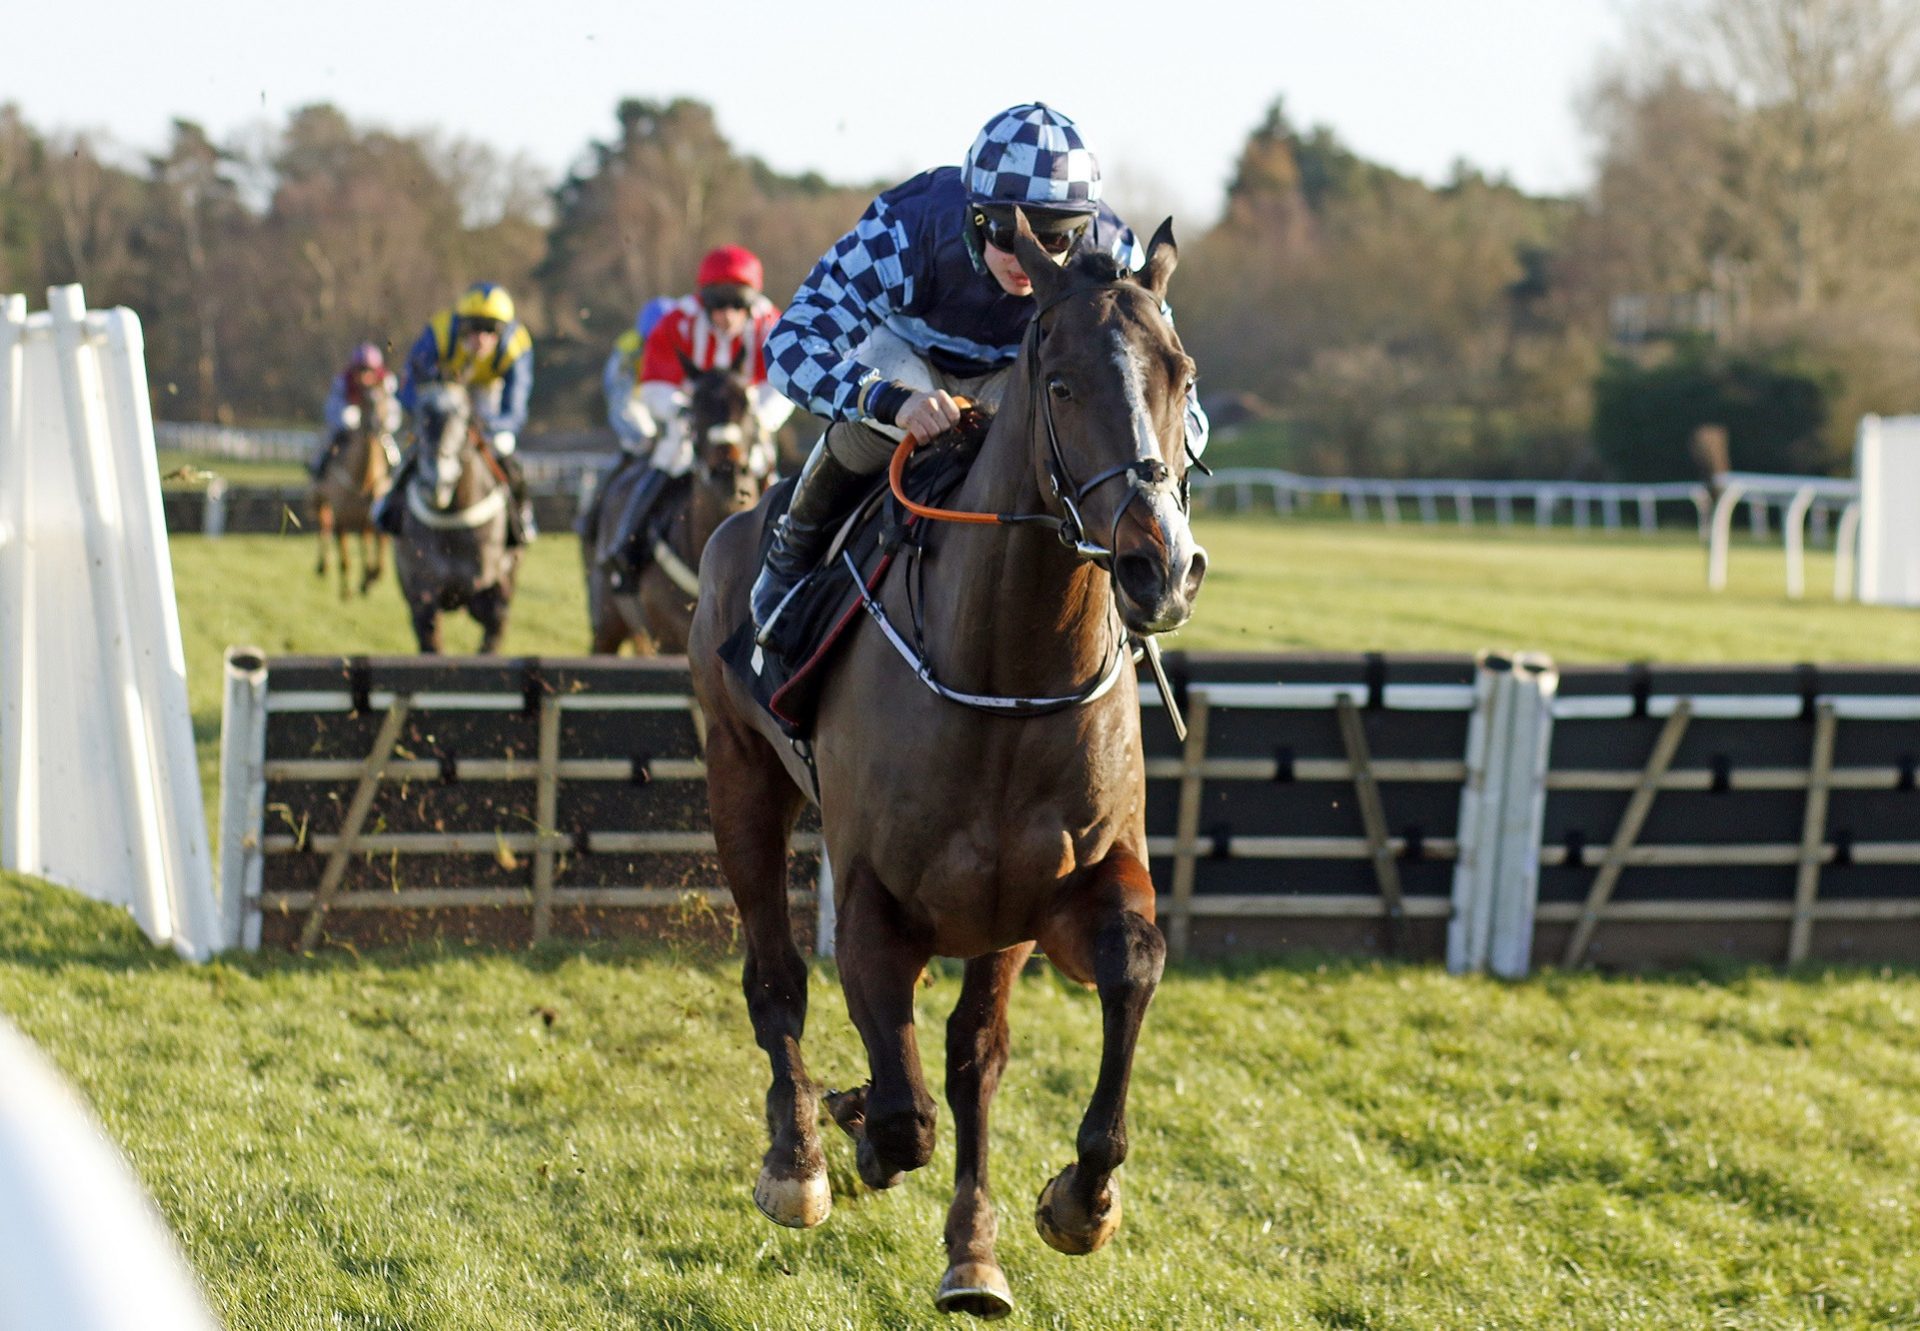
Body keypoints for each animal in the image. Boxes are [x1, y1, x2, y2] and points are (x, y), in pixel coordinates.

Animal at [309, 378, 395, 595]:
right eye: (366, 400)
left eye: (385, 398)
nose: (377, 424)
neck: (363, 479)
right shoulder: (341, 519)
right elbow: (345, 559)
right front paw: (346, 592)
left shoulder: (375, 516)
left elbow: (380, 551)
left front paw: (371, 578)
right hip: (318, 500)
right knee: (323, 524)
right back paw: (323, 565)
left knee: (365, 541)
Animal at [389, 382, 518, 653]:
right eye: (421, 414)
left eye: (463, 416)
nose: (437, 480)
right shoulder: (422, 594)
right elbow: (431, 638)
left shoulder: (491, 595)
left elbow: (493, 629)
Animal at [687, 213, 1198, 1313]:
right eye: (1061, 382)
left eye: (1181, 375)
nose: (1161, 565)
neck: (1008, 672)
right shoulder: (875, 898)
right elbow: (902, 1109)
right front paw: (854, 1131)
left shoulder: (1057, 889)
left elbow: (1097, 985)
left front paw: (1067, 1205)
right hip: (739, 776)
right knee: (775, 978)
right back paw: (799, 1157)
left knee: (959, 1049)